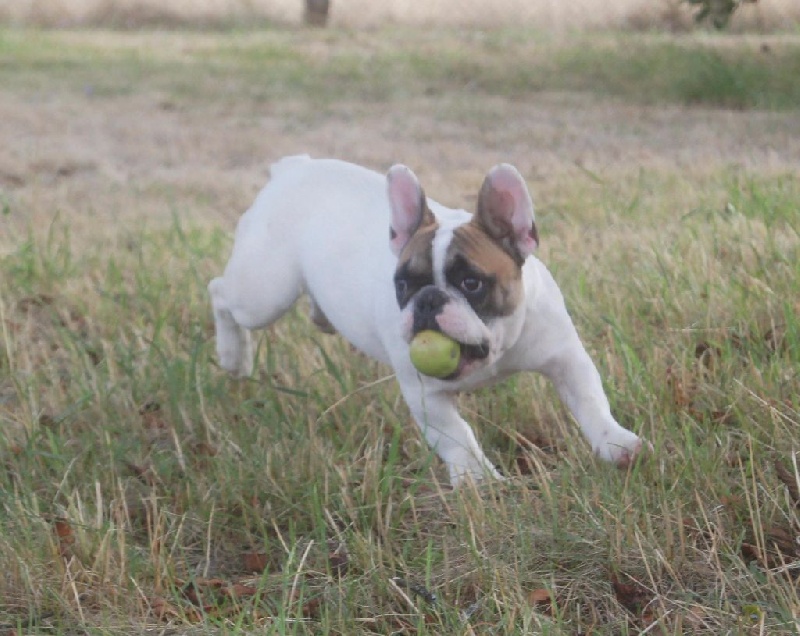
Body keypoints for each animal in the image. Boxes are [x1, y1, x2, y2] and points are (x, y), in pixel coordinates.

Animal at [209, 157, 648, 484]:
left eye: (471, 283)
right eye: (403, 284)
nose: (427, 300)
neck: (495, 351)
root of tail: (294, 167)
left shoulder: (565, 357)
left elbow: (590, 401)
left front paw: (616, 443)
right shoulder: (426, 395)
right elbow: (457, 435)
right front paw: (479, 480)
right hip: (264, 292)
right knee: (219, 293)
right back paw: (233, 356)